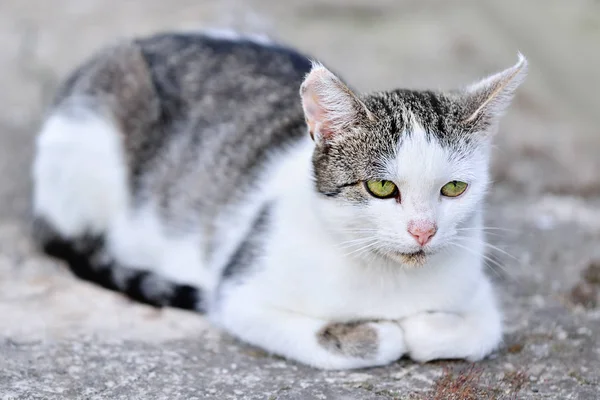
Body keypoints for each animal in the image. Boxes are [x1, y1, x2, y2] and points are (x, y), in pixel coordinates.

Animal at [31, 30, 524, 368]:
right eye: (382, 188)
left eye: (453, 188)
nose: (424, 231)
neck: (389, 279)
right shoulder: (239, 294)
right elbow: (363, 341)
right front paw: (381, 332)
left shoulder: (478, 294)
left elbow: (478, 331)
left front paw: (425, 326)